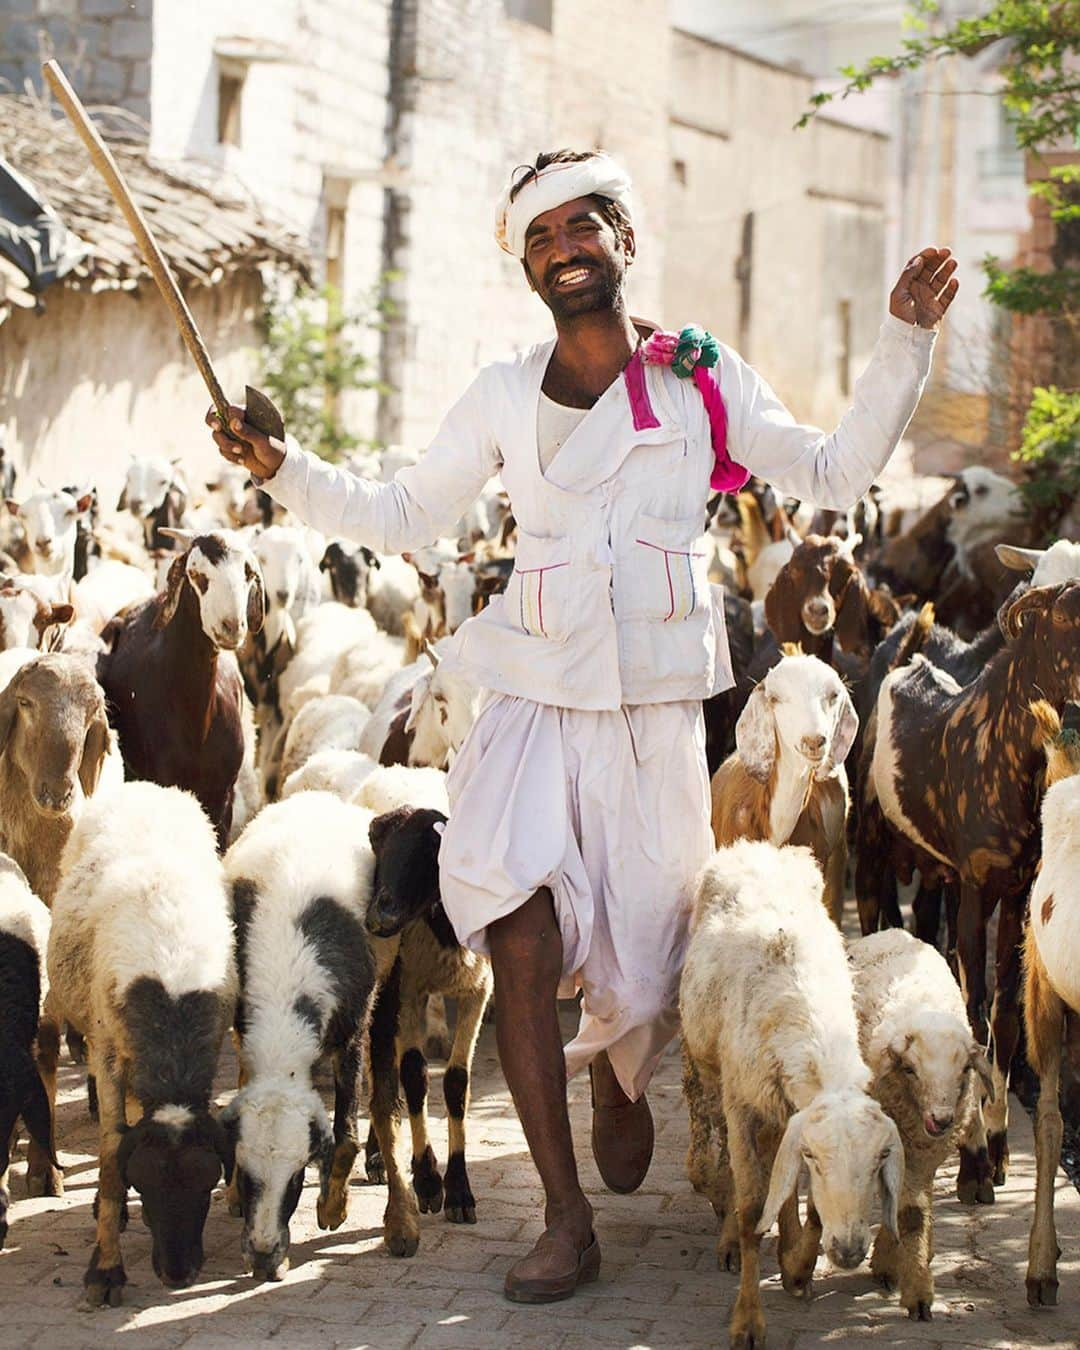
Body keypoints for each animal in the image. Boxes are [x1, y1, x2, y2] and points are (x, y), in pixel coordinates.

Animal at [46, 788, 236, 1301]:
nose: (176, 1274)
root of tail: (147, 786)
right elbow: (111, 1158)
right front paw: (105, 1270)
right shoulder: (108, 1052)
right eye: (146, 1185)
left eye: (206, 1184)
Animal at [683, 837, 901, 1344]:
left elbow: (806, 1204)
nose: (848, 1252)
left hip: (778, 1107)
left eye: (881, 1157)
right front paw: (747, 1320)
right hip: (714, 1072)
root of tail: (760, 845)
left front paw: (799, 1265)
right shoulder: (743, 1104)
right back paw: (730, 1241)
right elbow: (750, 1208)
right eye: (816, 1158)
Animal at [847, 928, 993, 1317]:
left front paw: (911, 1276)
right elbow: (906, 1207)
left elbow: (913, 1210)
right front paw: (900, 1275)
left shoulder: (925, 1151)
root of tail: (892, 931)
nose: (940, 1119)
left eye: (965, 1070)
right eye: (910, 1069)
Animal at [874, 580, 1080, 1204]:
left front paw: (996, 1151)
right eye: (1067, 616)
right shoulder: (974, 887)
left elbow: (1006, 1019)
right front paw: (969, 1165)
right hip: (869, 843)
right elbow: (973, 1015)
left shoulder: (1017, 894)